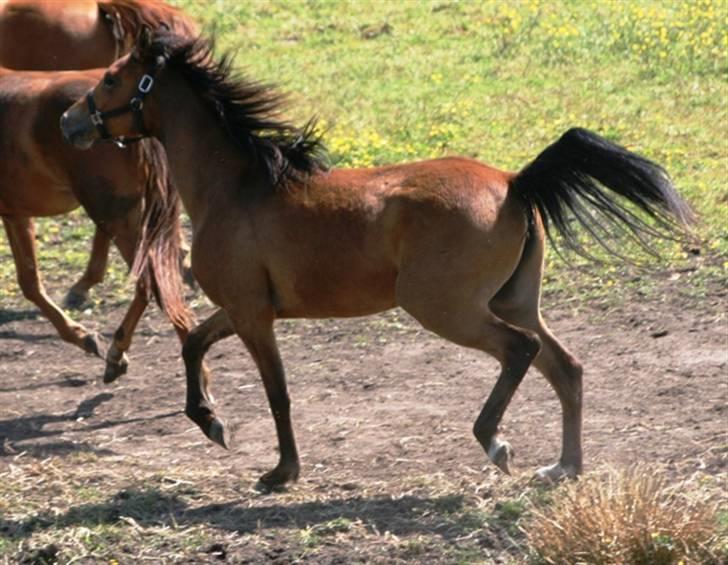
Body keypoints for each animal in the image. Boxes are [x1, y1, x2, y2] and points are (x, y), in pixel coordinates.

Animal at [59, 32, 692, 490]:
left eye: (112, 78)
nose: (70, 121)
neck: (237, 188)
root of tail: (515, 182)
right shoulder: (243, 308)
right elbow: (193, 343)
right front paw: (212, 423)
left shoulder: (253, 315)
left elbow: (277, 392)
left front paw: (280, 472)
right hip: (514, 301)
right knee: (567, 367)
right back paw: (564, 467)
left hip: (445, 308)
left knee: (521, 350)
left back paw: (494, 441)